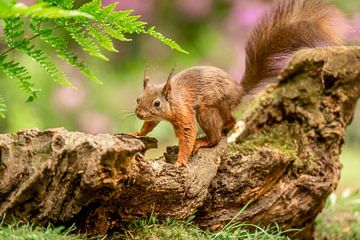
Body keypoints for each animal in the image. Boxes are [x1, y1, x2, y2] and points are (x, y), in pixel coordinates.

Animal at [133, 0, 348, 166]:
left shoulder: (183, 112)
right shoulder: (155, 117)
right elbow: (150, 124)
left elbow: (187, 134)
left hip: (207, 109)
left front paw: (181, 161)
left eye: (157, 103)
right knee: (231, 120)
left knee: (216, 135)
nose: (139, 114)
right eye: (138, 99)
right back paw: (228, 128)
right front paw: (137, 133)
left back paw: (205, 141)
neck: (171, 100)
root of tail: (239, 90)